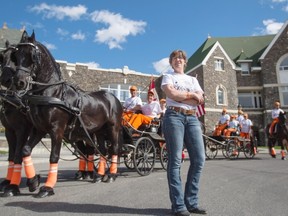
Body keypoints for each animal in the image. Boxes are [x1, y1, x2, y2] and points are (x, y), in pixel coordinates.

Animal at [0, 41, 41, 197]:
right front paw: (7, 181)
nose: (5, 79)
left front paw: (14, 186)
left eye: (14, 58)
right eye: (2, 57)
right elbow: (12, 155)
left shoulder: (23, 130)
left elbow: (19, 154)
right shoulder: (9, 130)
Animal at [11, 30, 122, 197]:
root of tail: (113, 97)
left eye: (32, 55)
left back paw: (112, 175)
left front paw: (47, 187)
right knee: (102, 150)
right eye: (16, 55)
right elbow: (25, 150)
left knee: (113, 149)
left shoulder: (57, 130)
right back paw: (99, 175)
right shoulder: (40, 129)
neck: (51, 93)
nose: (19, 82)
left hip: (112, 127)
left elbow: (54, 156)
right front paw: (33, 182)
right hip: (99, 131)